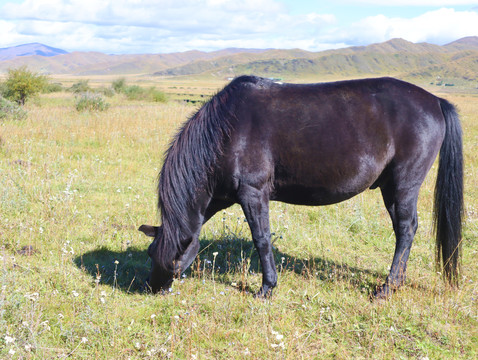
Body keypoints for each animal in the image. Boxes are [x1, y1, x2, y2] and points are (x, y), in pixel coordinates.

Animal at [138, 76, 464, 298]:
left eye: (174, 261)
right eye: (150, 254)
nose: (152, 288)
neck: (226, 131)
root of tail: (435, 101)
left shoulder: (253, 194)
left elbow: (262, 240)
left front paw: (267, 288)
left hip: (403, 184)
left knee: (406, 230)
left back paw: (387, 287)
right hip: (390, 189)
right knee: (405, 229)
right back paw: (397, 282)